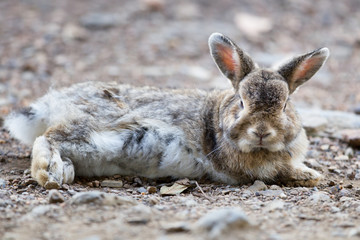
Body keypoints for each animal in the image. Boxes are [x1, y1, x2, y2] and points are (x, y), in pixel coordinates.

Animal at [3, 32, 330, 189]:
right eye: (241, 102)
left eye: (285, 105)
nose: (261, 132)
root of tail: (53, 101)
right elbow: (280, 170)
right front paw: (312, 175)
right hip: (89, 128)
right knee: (48, 137)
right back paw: (49, 173)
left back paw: (65, 170)